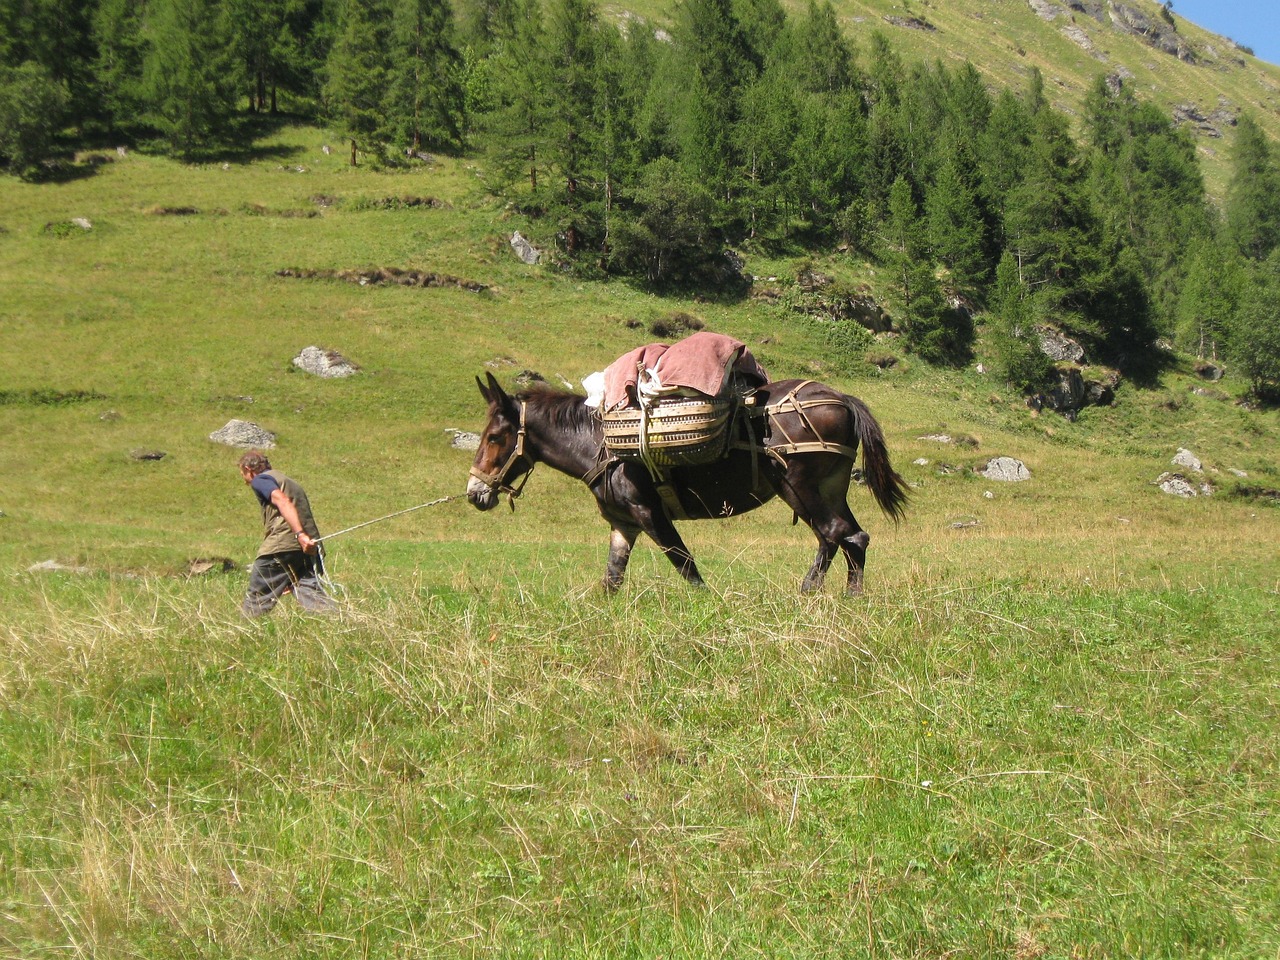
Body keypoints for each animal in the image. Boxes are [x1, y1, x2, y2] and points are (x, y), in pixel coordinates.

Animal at [466, 372, 909, 595]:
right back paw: (850, 598)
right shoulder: (624, 525)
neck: (599, 444)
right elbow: (611, 580)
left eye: (495, 437)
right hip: (830, 489)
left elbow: (687, 568)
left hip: (798, 488)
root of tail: (840, 399)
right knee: (853, 537)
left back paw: (807, 594)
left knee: (832, 534)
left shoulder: (649, 514)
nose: (475, 493)